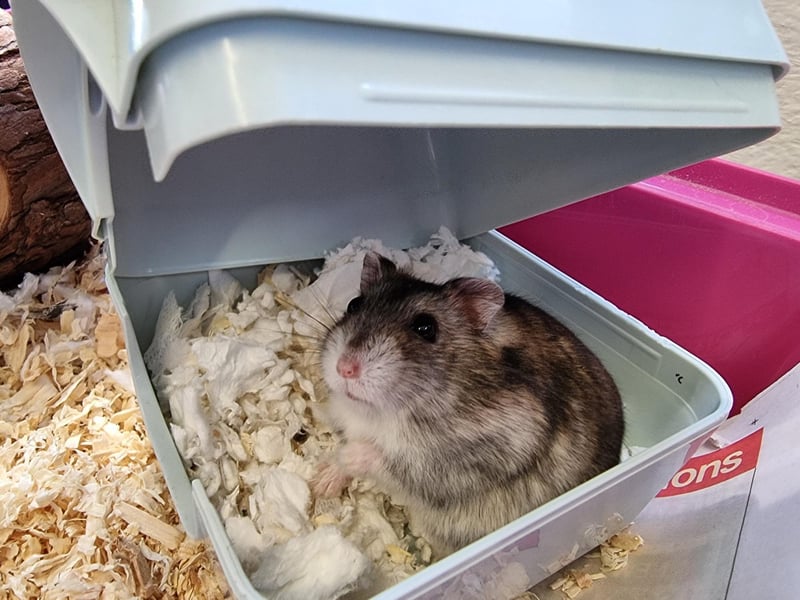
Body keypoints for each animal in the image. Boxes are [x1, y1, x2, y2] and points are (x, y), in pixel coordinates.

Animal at [312, 251, 624, 556]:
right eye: (353, 304)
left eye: (425, 327)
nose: (345, 368)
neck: (376, 412)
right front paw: (321, 482)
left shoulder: (475, 458)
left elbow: (395, 461)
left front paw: (348, 456)